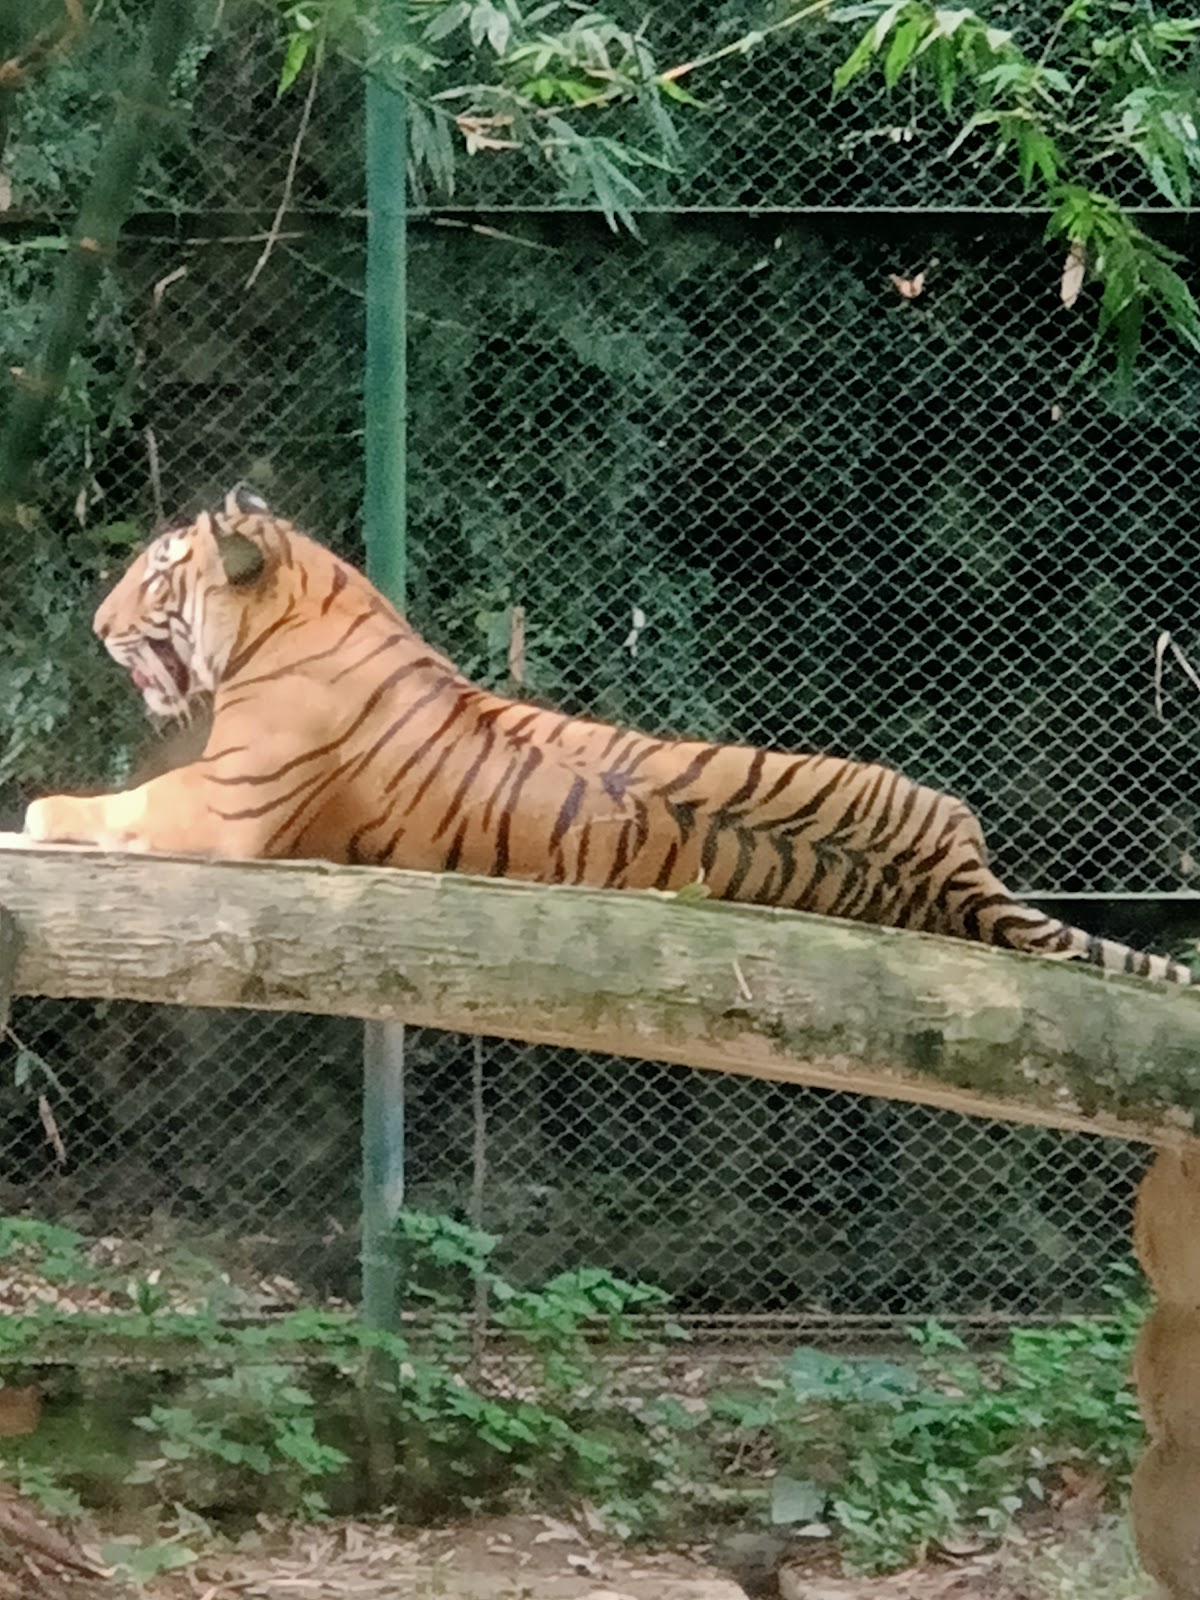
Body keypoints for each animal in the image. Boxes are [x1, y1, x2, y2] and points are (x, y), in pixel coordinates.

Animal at [23, 486, 1195, 986]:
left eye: (157, 572)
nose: (96, 623)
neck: (299, 600)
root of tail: (957, 874)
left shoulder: (221, 805)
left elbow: (103, 807)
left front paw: (35, 810)